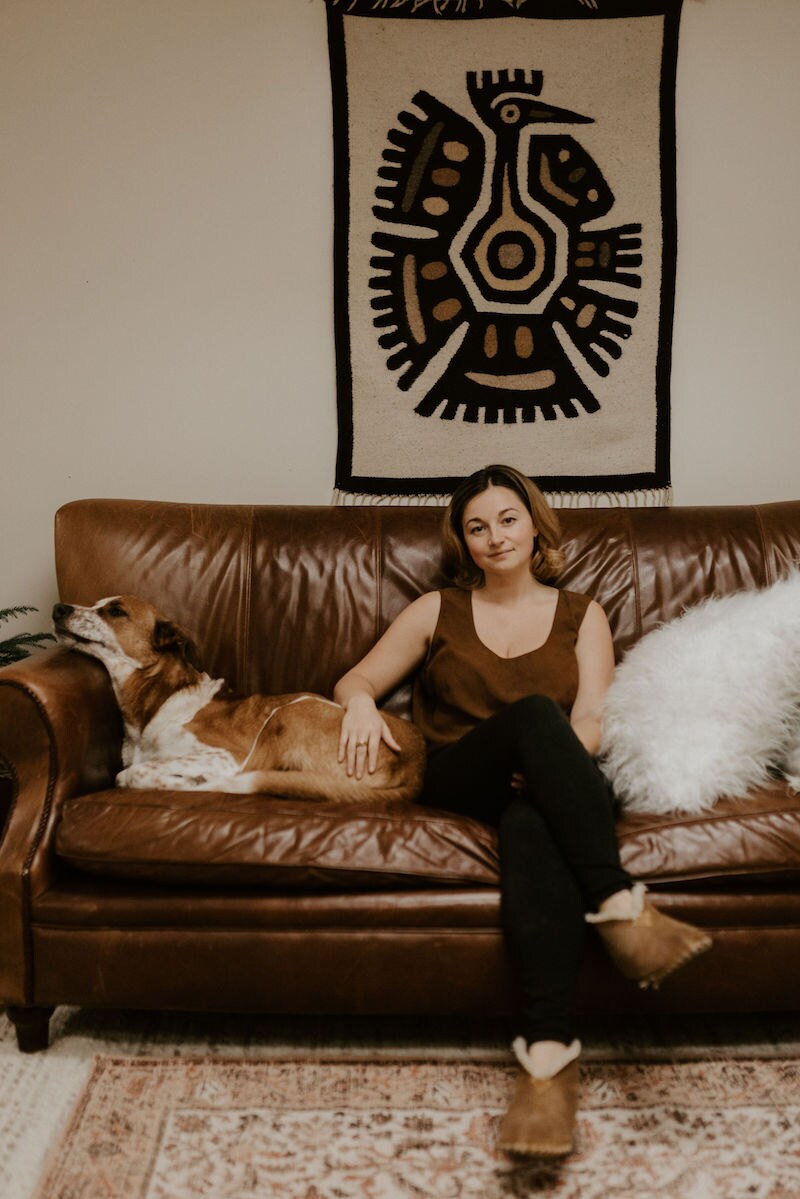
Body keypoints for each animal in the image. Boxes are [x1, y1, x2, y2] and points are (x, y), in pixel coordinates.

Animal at [51, 592, 424, 800]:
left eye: (115, 611)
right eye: (96, 604)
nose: (58, 608)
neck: (157, 699)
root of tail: (416, 770)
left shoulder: (227, 756)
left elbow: (130, 774)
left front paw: (183, 779)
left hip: (289, 711)